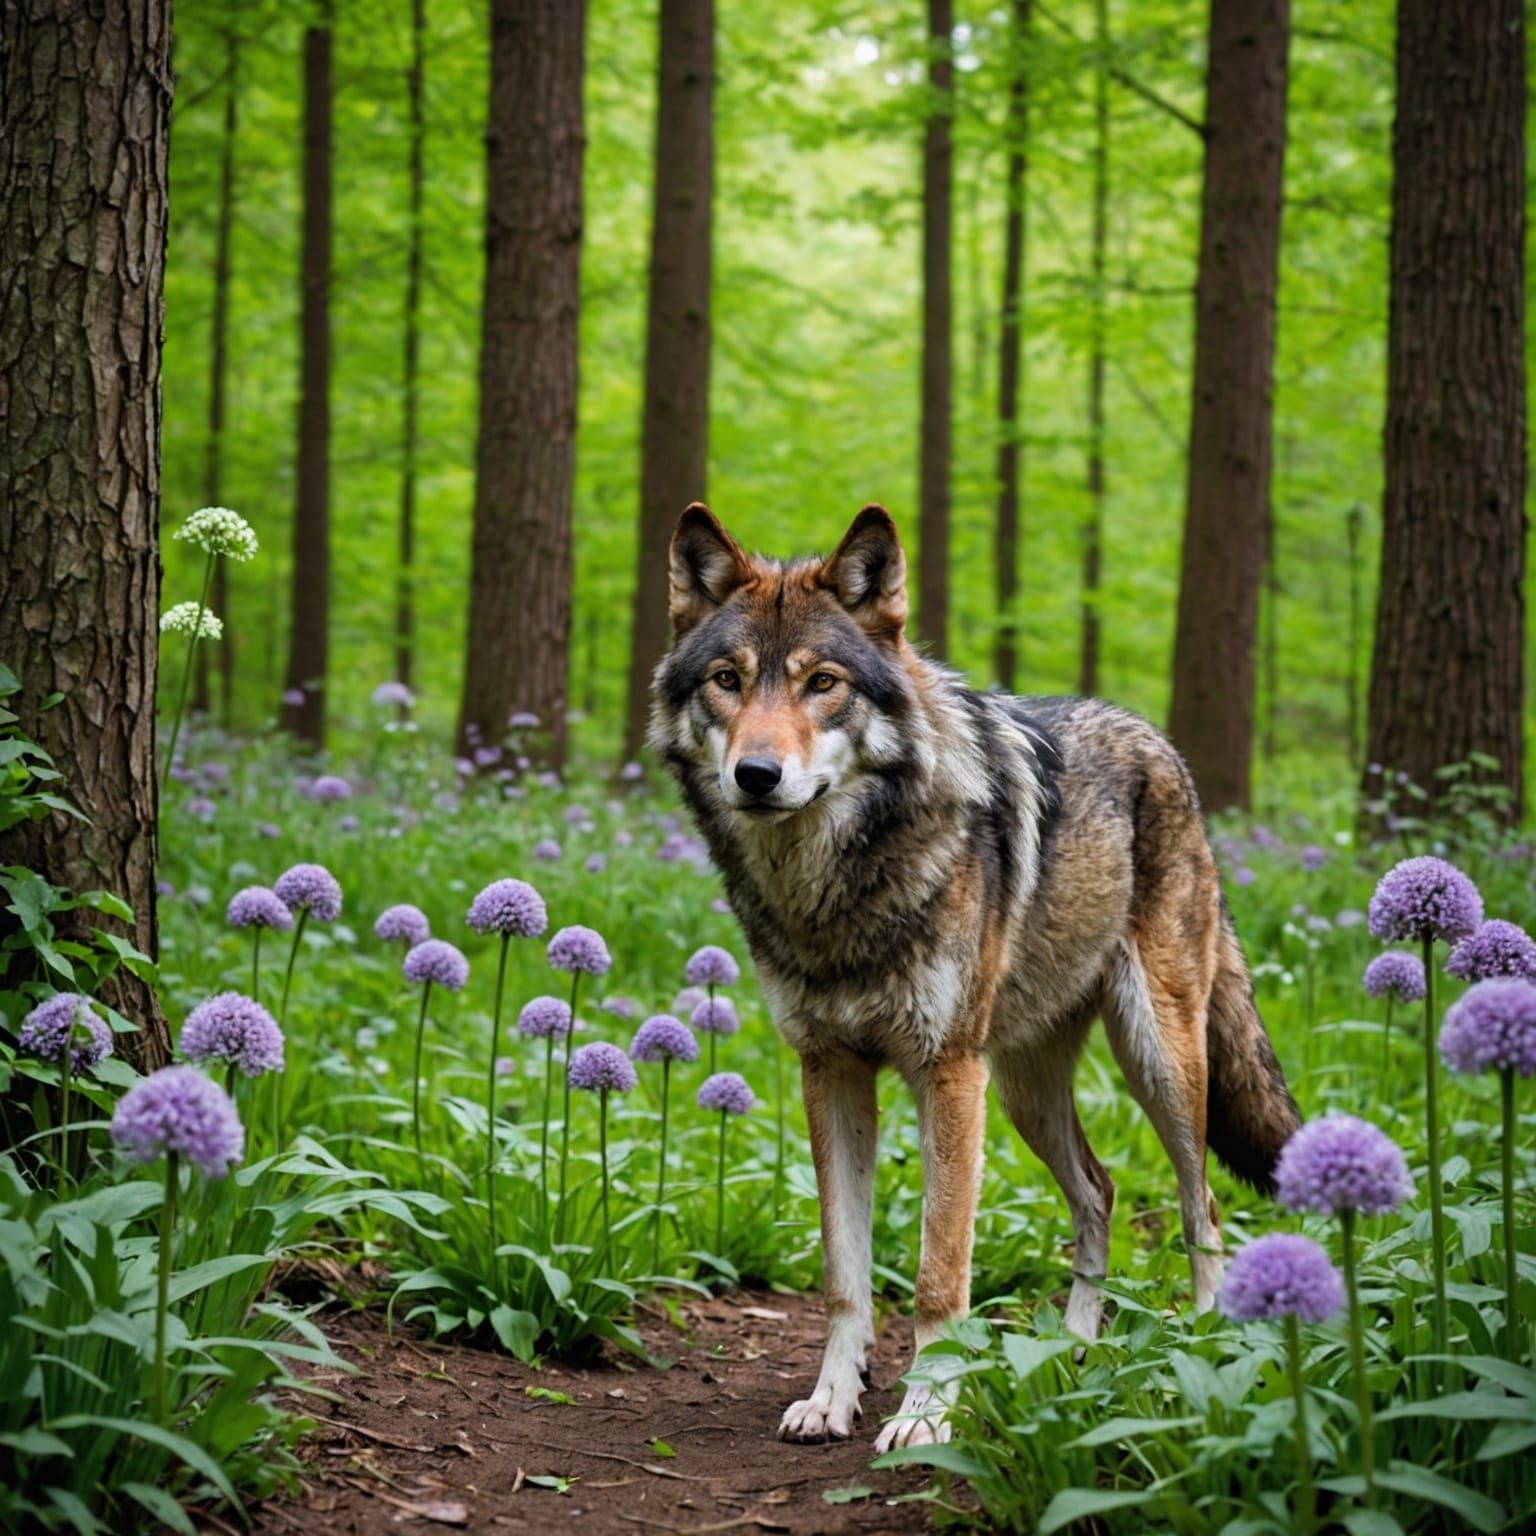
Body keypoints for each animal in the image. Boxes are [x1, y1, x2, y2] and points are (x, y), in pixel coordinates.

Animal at [648, 503, 1300, 1451]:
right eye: (728, 680)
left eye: (823, 684)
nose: (757, 776)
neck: (837, 891)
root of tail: (1156, 740)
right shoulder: (829, 1072)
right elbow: (844, 1275)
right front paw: (831, 1399)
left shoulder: (948, 1075)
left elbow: (938, 1278)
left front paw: (926, 1415)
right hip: (1025, 1091)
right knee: (1100, 1192)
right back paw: (1072, 1351)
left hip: (1160, 1065)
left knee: (1201, 1206)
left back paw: (1207, 1348)